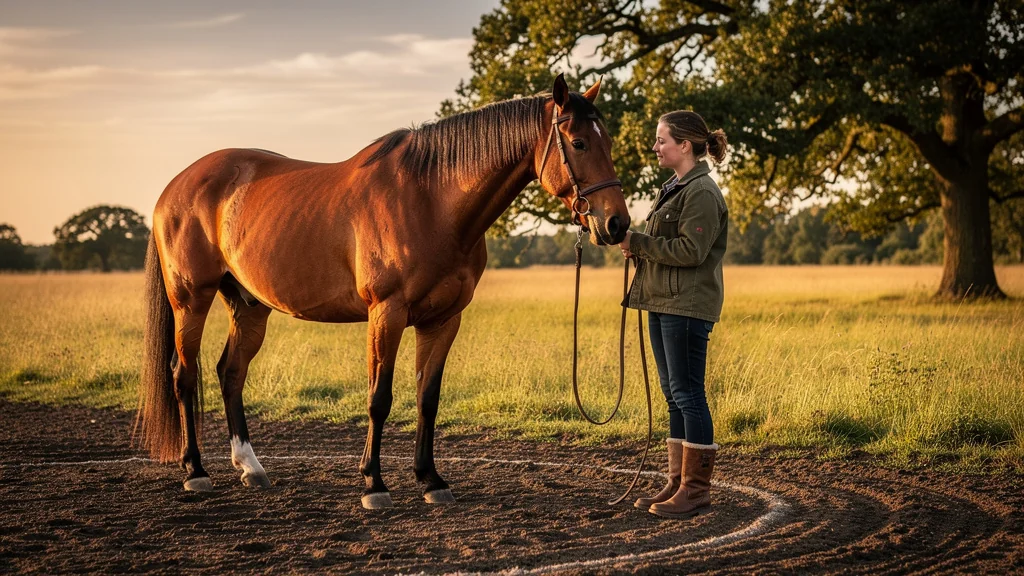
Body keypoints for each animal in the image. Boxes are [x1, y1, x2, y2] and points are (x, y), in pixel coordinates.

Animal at [135, 73, 630, 509]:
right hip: (190, 301)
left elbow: (427, 398)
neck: (430, 200)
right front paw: (374, 484)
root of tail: (174, 189)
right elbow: (380, 398)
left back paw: (251, 468)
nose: (616, 224)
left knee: (231, 372)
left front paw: (431, 480)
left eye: (608, 142)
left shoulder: (443, 320)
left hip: (251, 306)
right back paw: (196, 472)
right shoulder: (386, 314)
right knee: (184, 375)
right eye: (579, 143)